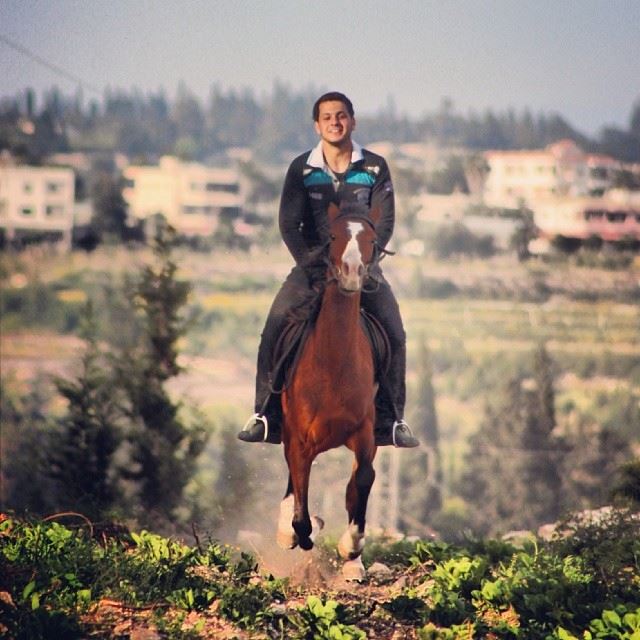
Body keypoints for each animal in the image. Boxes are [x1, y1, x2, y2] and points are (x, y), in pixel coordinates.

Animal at [276, 201, 380, 580]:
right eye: (332, 236)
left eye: (371, 239)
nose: (351, 273)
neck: (333, 362)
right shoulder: (300, 439)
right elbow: (301, 508)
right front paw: (300, 530)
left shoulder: (365, 431)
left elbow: (362, 479)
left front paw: (351, 546)